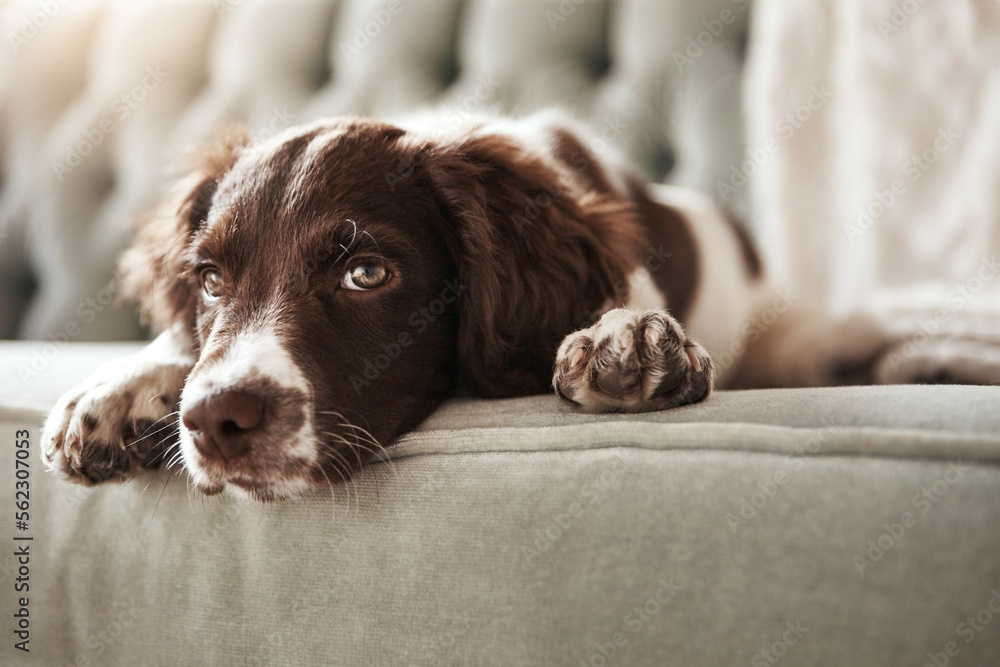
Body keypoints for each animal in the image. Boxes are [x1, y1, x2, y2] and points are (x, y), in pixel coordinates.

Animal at [41, 112, 984, 504]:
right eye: (208, 280)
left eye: (367, 273)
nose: (218, 421)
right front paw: (121, 389)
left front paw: (629, 336)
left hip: (795, 339)